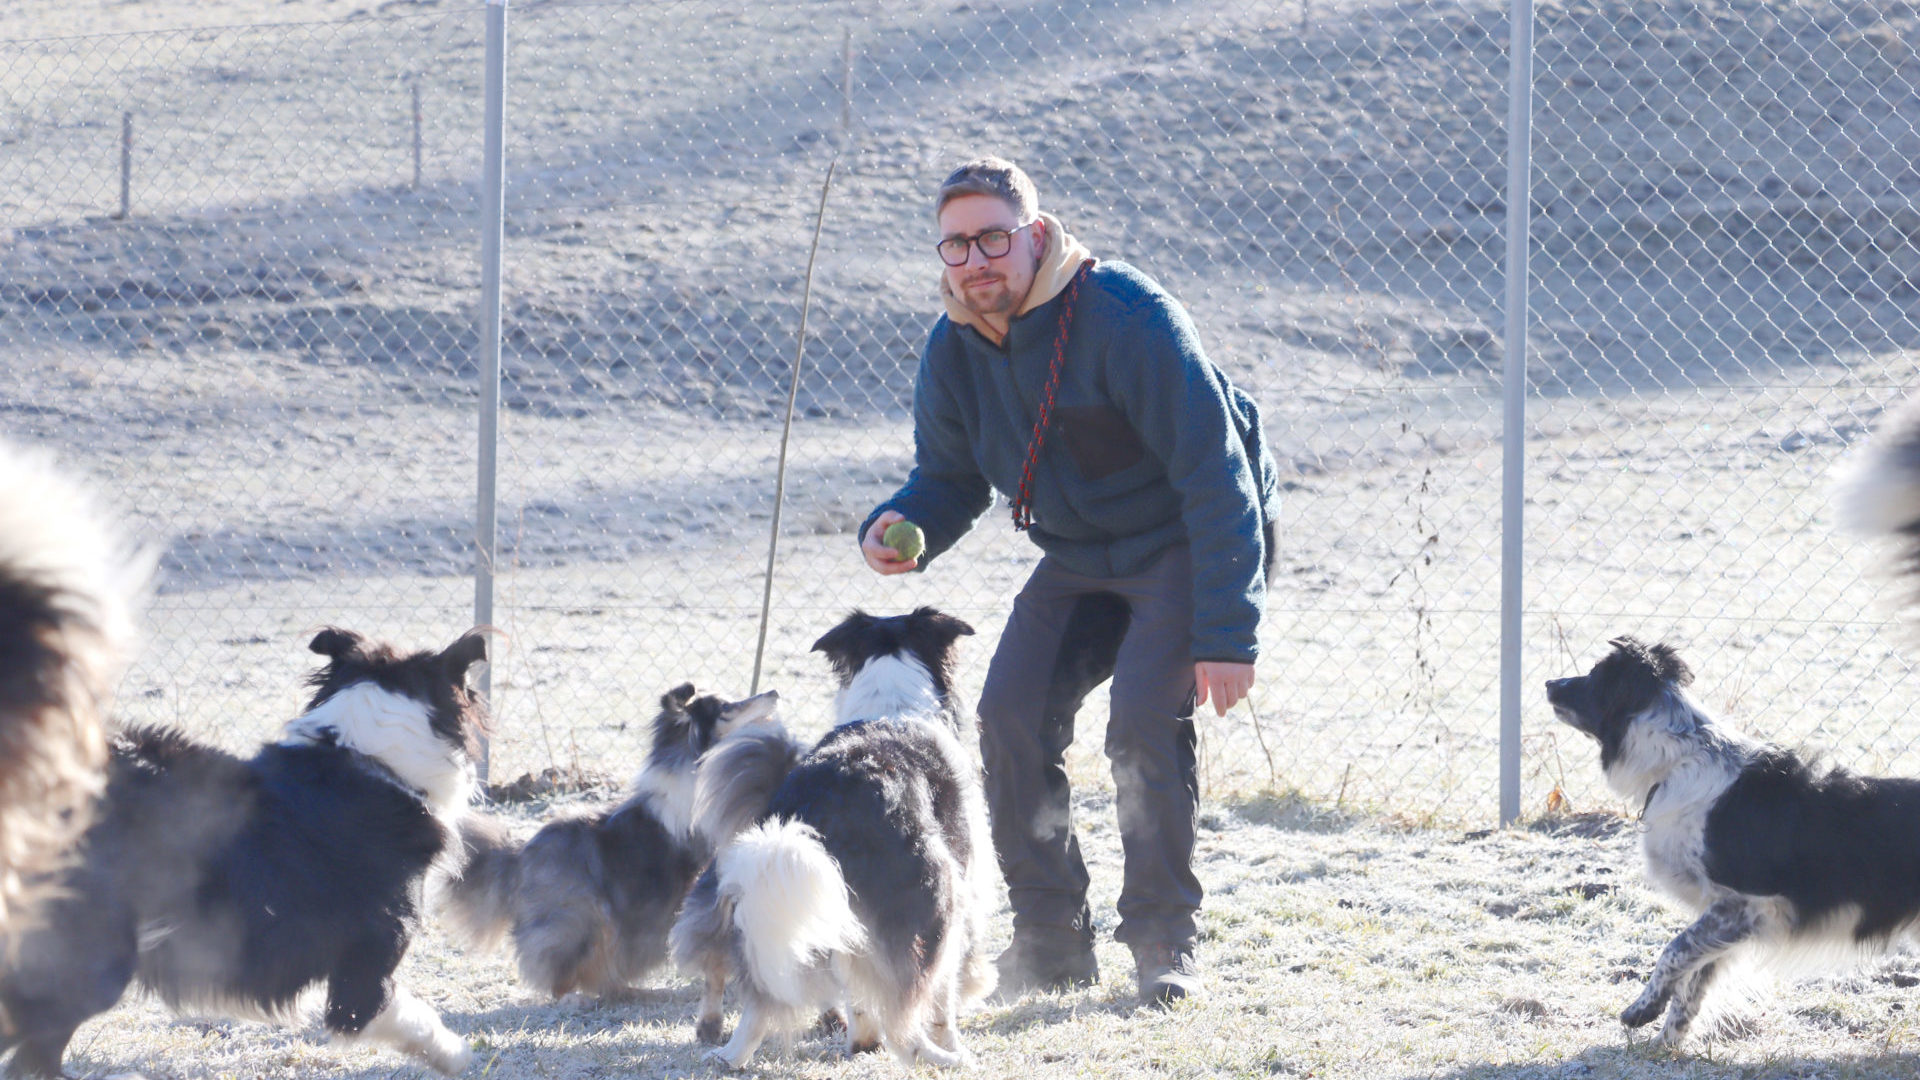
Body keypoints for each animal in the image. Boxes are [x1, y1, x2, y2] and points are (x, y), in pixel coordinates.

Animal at [439, 684, 779, 999]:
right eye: (726, 707)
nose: (773, 692)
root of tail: (519, 853)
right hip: (580, 916)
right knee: (558, 971)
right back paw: (585, 996)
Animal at [672, 607, 998, 1068]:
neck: (893, 701)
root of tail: (819, 809)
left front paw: (861, 1041)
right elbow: (941, 999)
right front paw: (949, 1043)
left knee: (760, 999)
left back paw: (728, 1056)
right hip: (934, 900)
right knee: (905, 1015)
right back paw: (946, 1059)